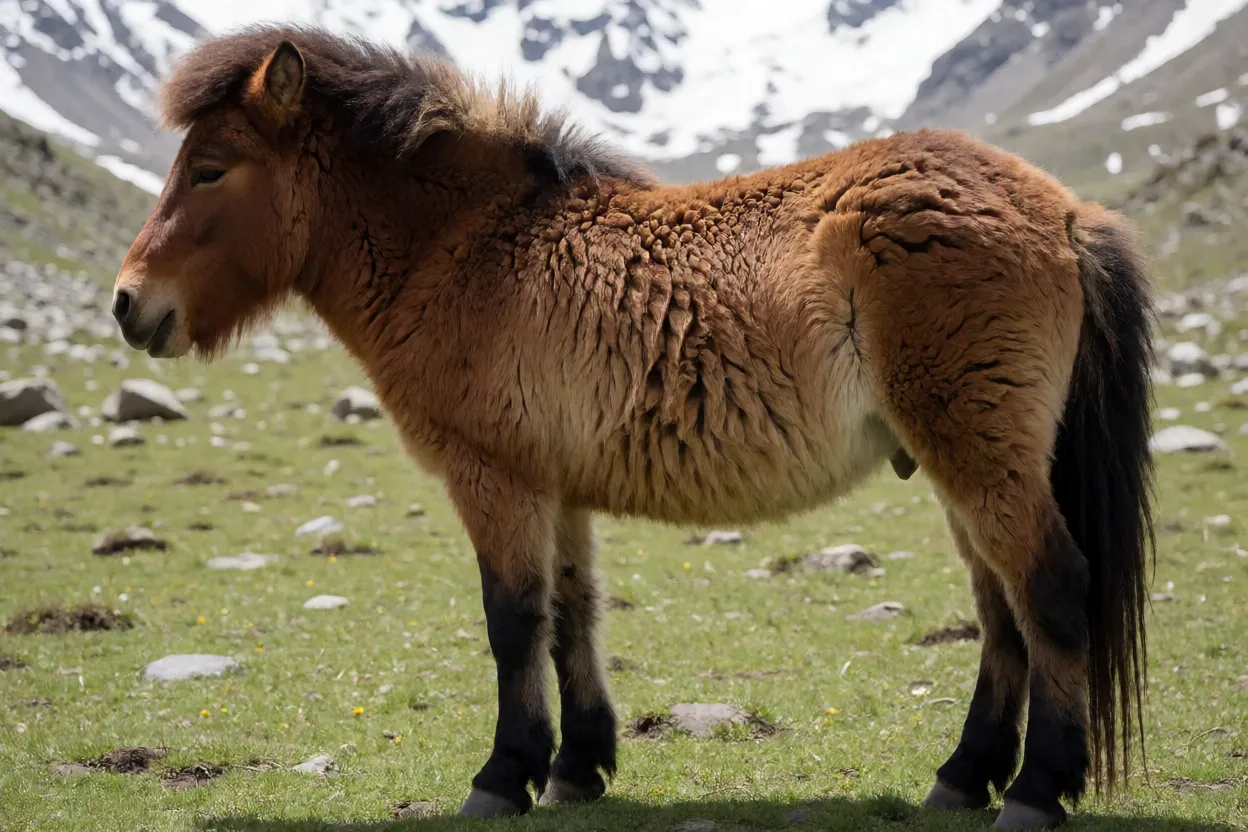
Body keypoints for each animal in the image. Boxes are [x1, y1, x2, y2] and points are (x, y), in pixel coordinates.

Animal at [111, 26, 1155, 829]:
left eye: (209, 169)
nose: (127, 304)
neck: (469, 250)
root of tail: (1067, 212)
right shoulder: (557, 488)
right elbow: (573, 617)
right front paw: (578, 768)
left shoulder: (494, 481)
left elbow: (512, 622)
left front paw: (503, 776)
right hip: (961, 462)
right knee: (1002, 613)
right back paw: (964, 778)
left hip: (980, 455)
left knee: (1051, 590)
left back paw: (1037, 790)